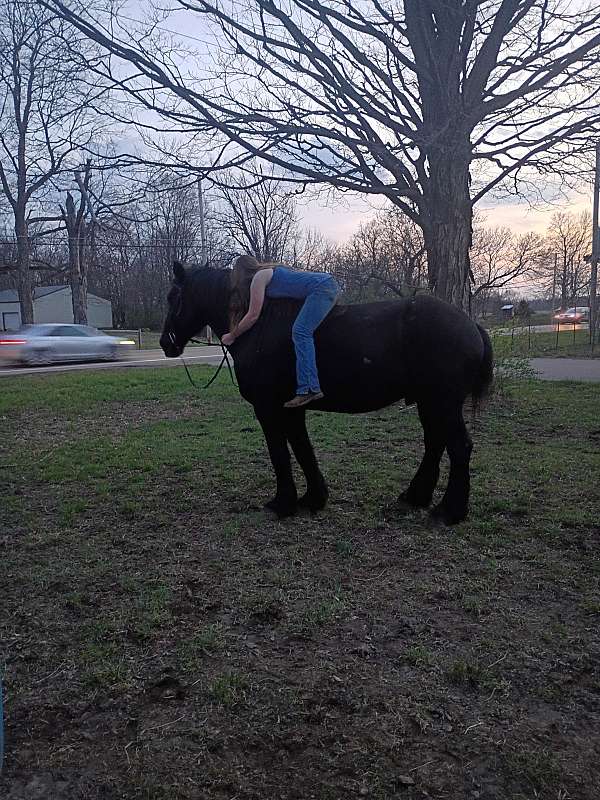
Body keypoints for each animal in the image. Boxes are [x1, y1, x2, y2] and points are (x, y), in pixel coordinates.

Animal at [160, 261, 493, 525]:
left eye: (173, 297)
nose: (166, 343)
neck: (260, 324)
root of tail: (471, 325)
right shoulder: (291, 408)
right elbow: (302, 449)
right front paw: (313, 498)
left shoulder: (268, 408)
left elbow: (279, 453)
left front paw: (283, 503)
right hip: (430, 402)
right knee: (435, 444)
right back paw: (415, 497)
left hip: (442, 402)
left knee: (459, 447)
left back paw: (449, 511)